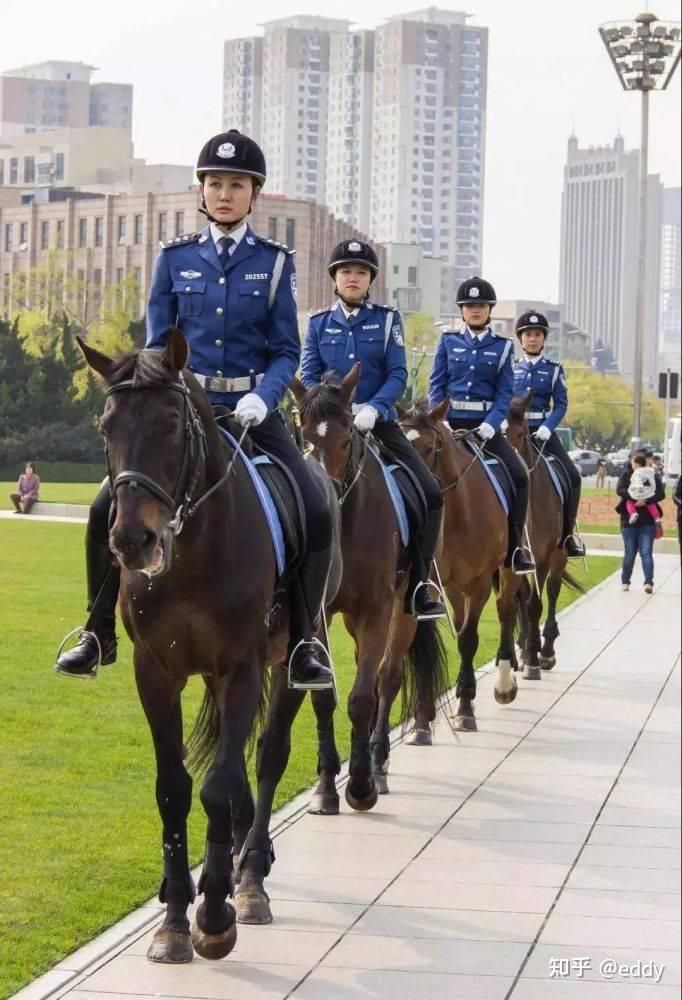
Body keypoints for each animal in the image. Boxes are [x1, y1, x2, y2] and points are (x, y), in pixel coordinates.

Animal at [77, 332, 340, 964]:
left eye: (172, 424)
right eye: (106, 425)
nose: (132, 540)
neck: (193, 549)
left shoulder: (239, 668)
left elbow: (219, 784)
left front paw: (216, 914)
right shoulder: (155, 672)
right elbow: (173, 787)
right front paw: (174, 914)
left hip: (288, 657)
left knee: (266, 757)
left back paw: (250, 876)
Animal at [380, 398, 516, 744]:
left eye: (431, 447)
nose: (414, 491)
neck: (458, 512)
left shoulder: (479, 583)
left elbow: (468, 640)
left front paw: (466, 708)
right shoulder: (428, 583)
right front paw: (422, 720)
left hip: (506, 570)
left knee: (506, 612)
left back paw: (504, 684)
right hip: (453, 587)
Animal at [502, 394, 580, 684]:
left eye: (520, 433)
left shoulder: (544, 558)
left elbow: (535, 603)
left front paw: (535, 659)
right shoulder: (521, 560)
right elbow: (525, 601)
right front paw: (526, 653)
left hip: (559, 555)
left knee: (553, 590)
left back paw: (546, 650)